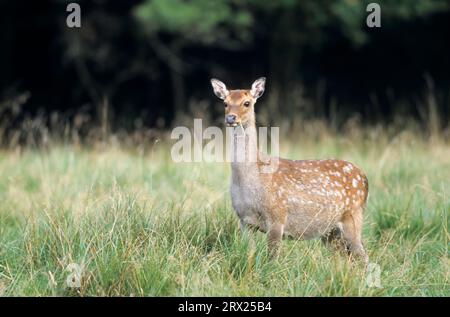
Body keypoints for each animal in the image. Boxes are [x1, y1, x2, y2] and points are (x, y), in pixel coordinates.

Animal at [211, 76, 370, 262]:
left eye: (247, 103)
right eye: (225, 103)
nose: (230, 118)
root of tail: (364, 178)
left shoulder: (277, 216)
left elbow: (272, 258)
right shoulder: (244, 220)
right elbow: (249, 254)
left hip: (353, 216)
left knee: (364, 257)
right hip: (330, 231)